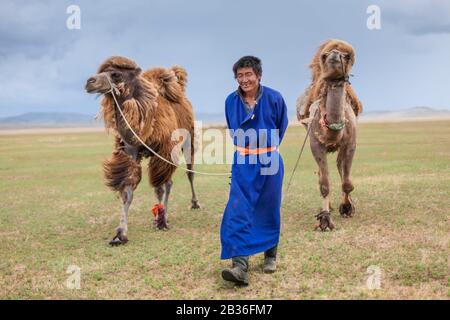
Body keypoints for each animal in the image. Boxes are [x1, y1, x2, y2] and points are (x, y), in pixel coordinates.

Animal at [85, 56, 200, 245]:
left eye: (116, 74)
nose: (89, 82)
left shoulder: (163, 151)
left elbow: (160, 187)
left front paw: (161, 223)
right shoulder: (130, 151)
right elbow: (127, 192)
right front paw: (120, 234)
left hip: (187, 140)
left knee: (186, 174)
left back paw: (192, 204)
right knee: (168, 182)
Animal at [298, 40, 364, 231]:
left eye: (346, 56)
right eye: (325, 55)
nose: (334, 54)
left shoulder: (350, 143)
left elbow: (347, 182)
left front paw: (347, 207)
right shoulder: (316, 144)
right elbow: (324, 184)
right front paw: (325, 219)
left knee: (340, 166)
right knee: (323, 174)